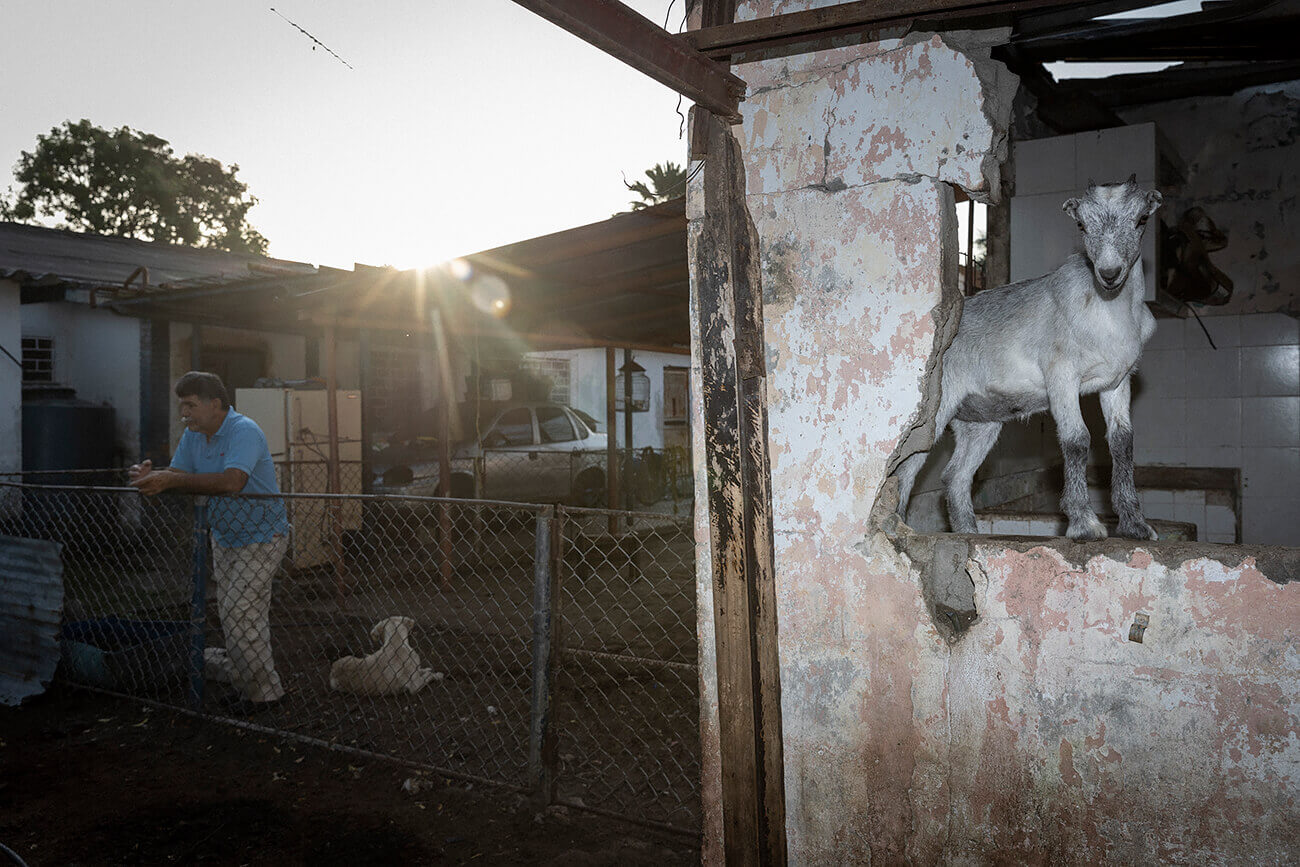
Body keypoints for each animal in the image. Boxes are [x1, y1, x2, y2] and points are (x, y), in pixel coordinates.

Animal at [899, 175, 1164, 538]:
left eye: (1141, 219)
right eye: (1081, 224)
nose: (1109, 273)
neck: (1110, 313)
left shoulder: (1117, 382)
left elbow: (1122, 443)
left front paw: (1135, 525)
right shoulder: (1061, 375)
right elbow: (1077, 439)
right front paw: (1084, 525)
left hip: (980, 422)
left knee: (956, 475)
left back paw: (968, 532)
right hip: (934, 411)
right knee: (905, 467)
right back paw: (895, 526)